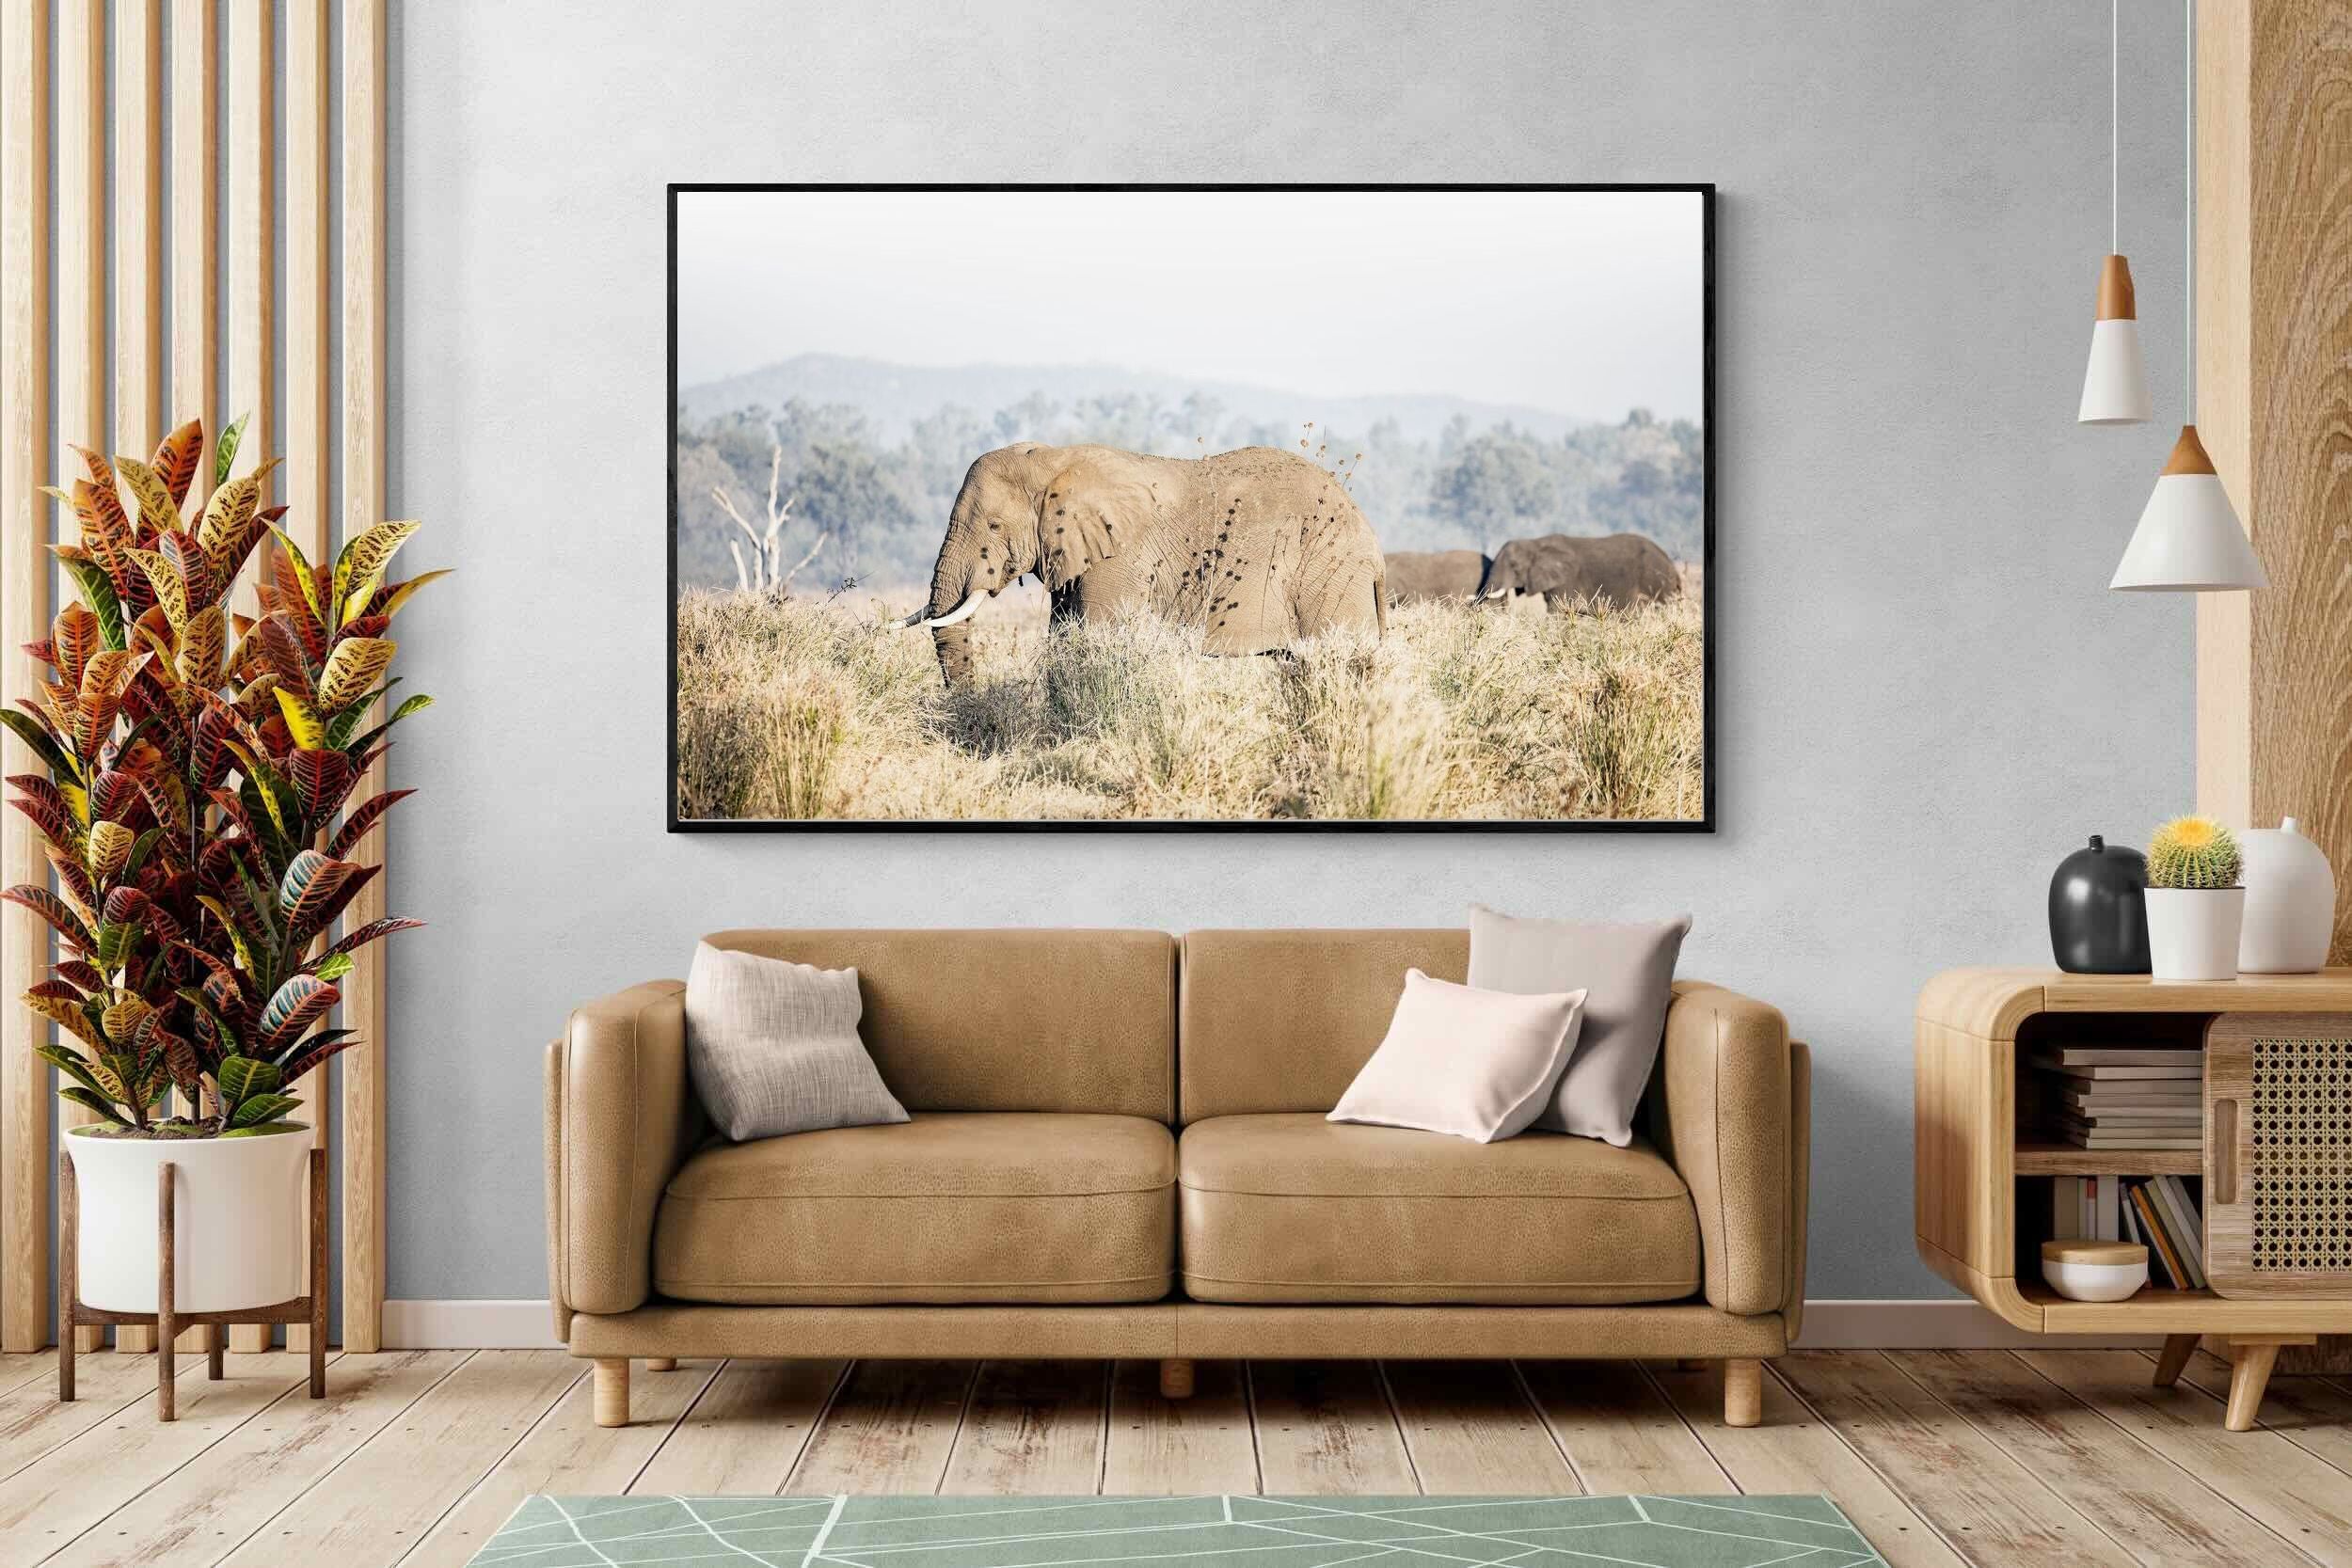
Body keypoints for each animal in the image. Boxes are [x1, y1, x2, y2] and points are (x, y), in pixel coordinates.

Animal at [898, 443, 1387, 682]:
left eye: (994, 525)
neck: (1056, 459)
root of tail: (1373, 547)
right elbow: (1064, 639)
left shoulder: (1119, 560)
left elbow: (1094, 639)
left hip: (1329, 575)